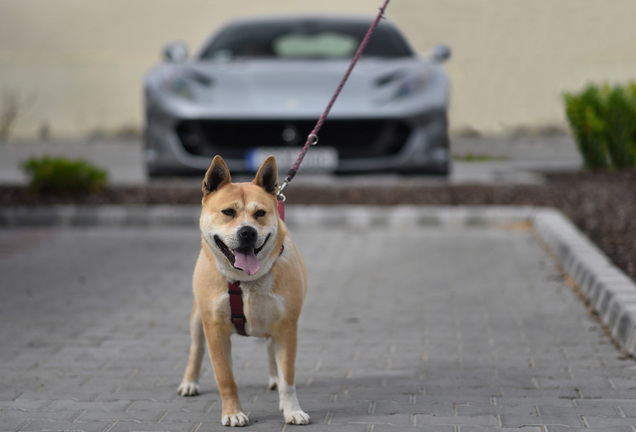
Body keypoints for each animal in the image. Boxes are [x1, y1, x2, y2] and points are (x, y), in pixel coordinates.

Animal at [178, 154, 310, 426]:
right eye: (228, 212)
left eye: (260, 213)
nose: (247, 232)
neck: (245, 281)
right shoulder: (215, 330)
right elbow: (226, 378)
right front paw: (233, 413)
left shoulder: (287, 326)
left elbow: (288, 377)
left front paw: (292, 410)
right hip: (197, 320)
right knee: (196, 349)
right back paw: (189, 383)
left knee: (271, 350)